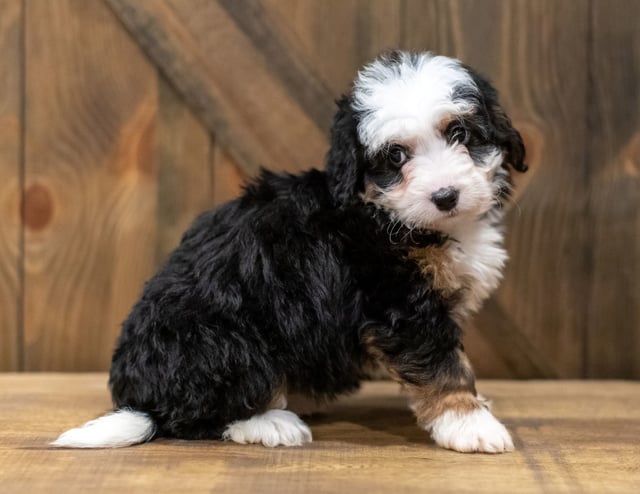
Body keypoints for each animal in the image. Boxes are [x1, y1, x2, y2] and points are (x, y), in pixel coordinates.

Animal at [53, 51, 524, 456]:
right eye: (395, 156)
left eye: (460, 134)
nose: (445, 196)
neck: (388, 215)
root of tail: (142, 401)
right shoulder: (399, 303)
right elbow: (443, 365)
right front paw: (468, 422)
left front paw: (478, 408)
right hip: (228, 341)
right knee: (199, 418)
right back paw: (271, 422)